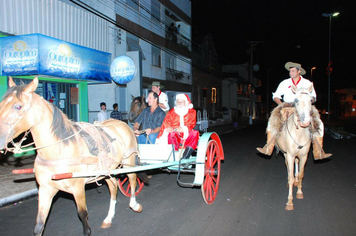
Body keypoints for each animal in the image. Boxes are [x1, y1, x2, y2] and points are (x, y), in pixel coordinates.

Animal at [0, 77, 143, 234]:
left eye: (18, 106)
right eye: (1, 103)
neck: (57, 151)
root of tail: (123, 124)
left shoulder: (78, 188)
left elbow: (83, 214)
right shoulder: (45, 189)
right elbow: (39, 224)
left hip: (129, 161)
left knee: (132, 179)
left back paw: (134, 204)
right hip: (108, 170)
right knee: (114, 187)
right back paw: (108, 218)